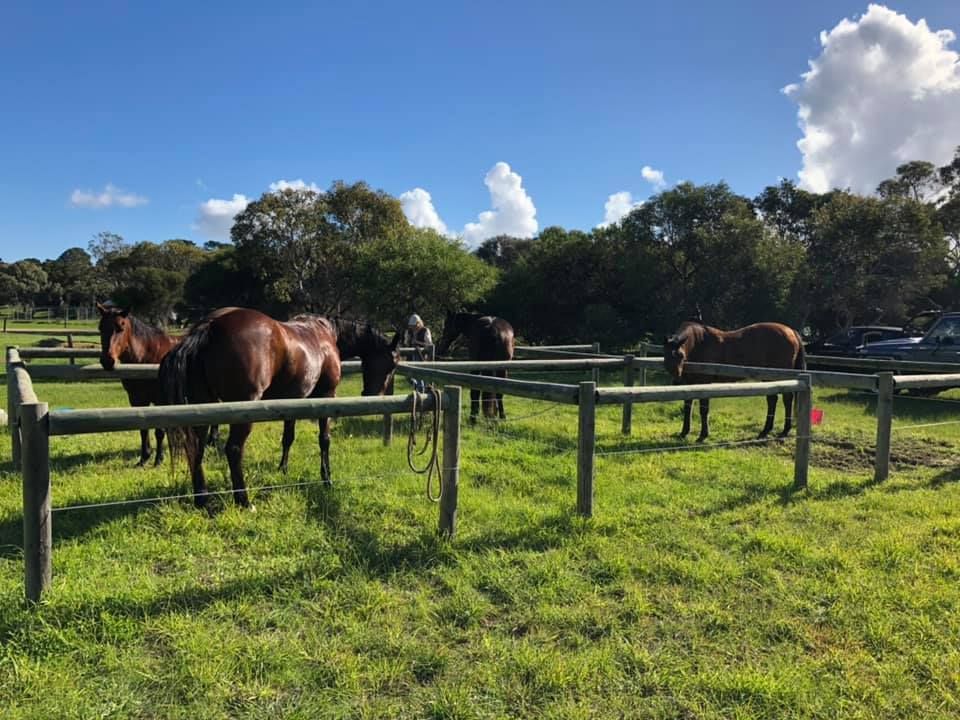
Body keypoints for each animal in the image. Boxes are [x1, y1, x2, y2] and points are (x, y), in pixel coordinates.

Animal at [98, 302, 180, 466]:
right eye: (100, 328)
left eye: (121, 328)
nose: (107, 361)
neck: (147, 357)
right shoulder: (136, 399)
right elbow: (143, 429)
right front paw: (144, 458)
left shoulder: (161, 400)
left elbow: (159, 431)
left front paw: (158, 459)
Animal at [159, 306, 400, 510]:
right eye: (392, 363)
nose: (372, 394)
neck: (326, 335)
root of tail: (210, 327)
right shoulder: (326, 396)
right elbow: (324, 440)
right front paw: (327, 479)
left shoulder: (293, 401)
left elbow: (288, 438)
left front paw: (282, 469)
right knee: (233, 450)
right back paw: (243, 500)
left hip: (203, 407)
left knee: (196, 448)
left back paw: (202, 499)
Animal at [664, 322, 808, 444]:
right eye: (666, 355)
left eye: (681, 355)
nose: (676, 381)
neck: (698, 344)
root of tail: (791, 331)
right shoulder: (690, 383)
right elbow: (687, 407)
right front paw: (684, 432)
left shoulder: (704, 383)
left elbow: (703, 410)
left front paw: (702, 436)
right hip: (768, 378)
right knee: (772, 400)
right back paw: (765, 431)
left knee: (786, 399)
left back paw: (784, 431)